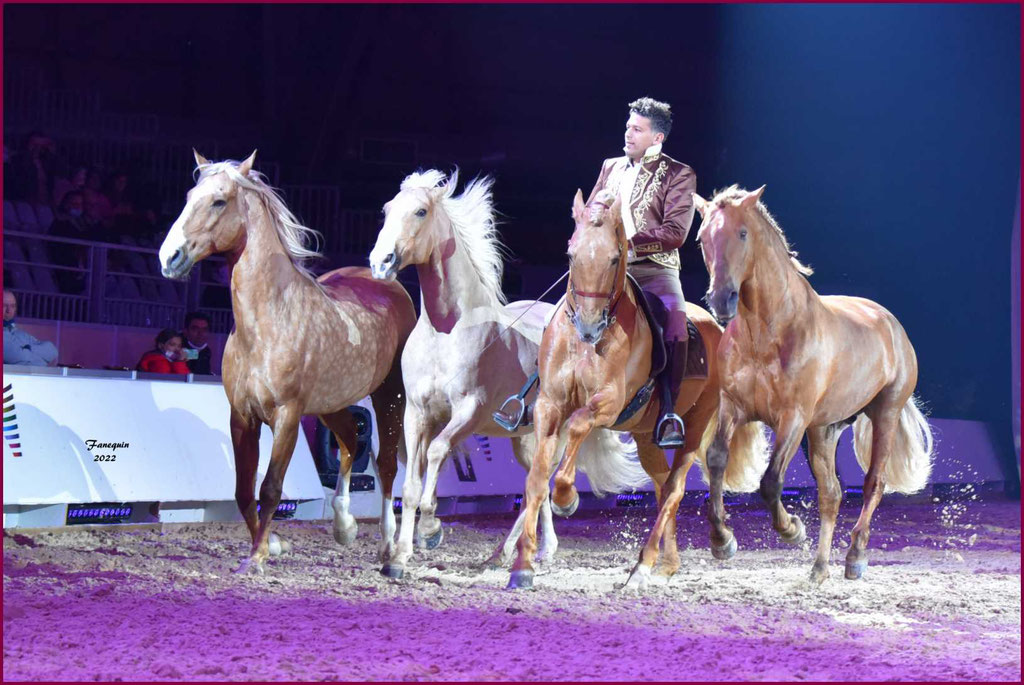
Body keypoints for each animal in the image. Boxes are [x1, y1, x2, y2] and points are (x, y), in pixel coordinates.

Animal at [159, 150, 415, 573]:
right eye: (189, 195)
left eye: (219, 201)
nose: (170, 257)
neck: (268, 322)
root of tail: (387, 283)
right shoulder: (242, 417)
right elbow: (243, 490)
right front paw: (271, 546)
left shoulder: (287, 416)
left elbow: (271, 487)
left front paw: (256, 558)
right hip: (332, 404)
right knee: (349, 440)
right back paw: (344, 527)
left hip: (389, 398)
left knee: (387, 463)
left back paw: (388, 547)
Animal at [366, 169, 638, 577]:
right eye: (385, 210)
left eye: (420, 211)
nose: (380, 262)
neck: (445, 330)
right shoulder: (416, 413)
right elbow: (412, 484)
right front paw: (398, 556)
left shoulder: (469, 411)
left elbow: (437, 452)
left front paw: (431, 530)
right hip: (525, 438)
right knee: (534, 482)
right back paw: (530, 550)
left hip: (555, 430)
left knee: (539, 481)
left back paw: (512, 551)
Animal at [505, 189, 770, 589]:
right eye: (571, 254)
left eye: (615, 258)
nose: (589, 326)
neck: (585, 344)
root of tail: (719, 329)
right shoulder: (549, 405)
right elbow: (535, 480)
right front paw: (522, 566)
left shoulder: (609, 403)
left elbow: (579, 425)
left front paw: (566, 497)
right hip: (646, 436)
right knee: (661, 486)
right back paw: (666, 563)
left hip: (694, 427)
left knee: (674, 488)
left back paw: (649, 564)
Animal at [692, 185, 933, 581]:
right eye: (702, 238)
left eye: (742, 233)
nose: (721, 299)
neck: (767, 334)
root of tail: (891, 324)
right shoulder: (734, 406)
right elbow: (716, 460)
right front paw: (722, 540)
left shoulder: (793, 418)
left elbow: (771, 481)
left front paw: (791, 529)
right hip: (825, 430)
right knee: (831, 494)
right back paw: (819, 569)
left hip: (884, 414)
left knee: (874, 483)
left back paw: (855, 557)